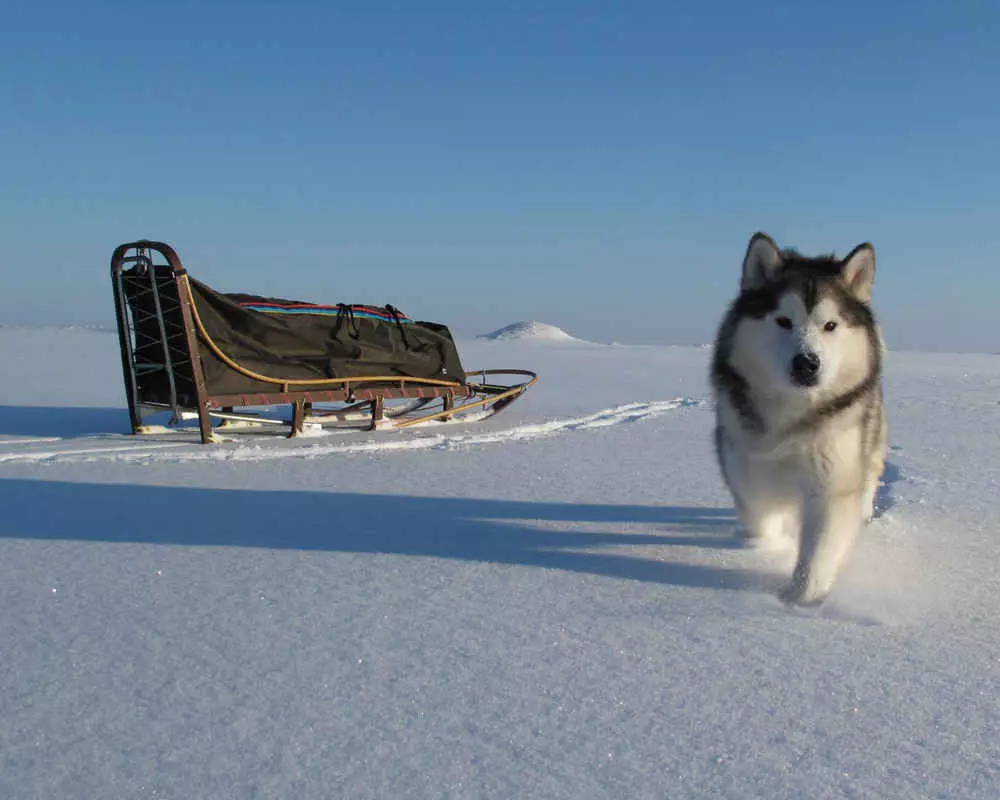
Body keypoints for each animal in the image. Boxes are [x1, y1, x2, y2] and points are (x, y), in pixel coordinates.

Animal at [708, 231, 888, 608]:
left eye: (830, 325)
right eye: (783, 321)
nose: (807, 363)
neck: (791, 416)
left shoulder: (832, 486)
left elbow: (818, 552)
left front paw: (799, 600)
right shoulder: (748, 476)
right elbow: (760, 520)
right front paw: (761, 552)